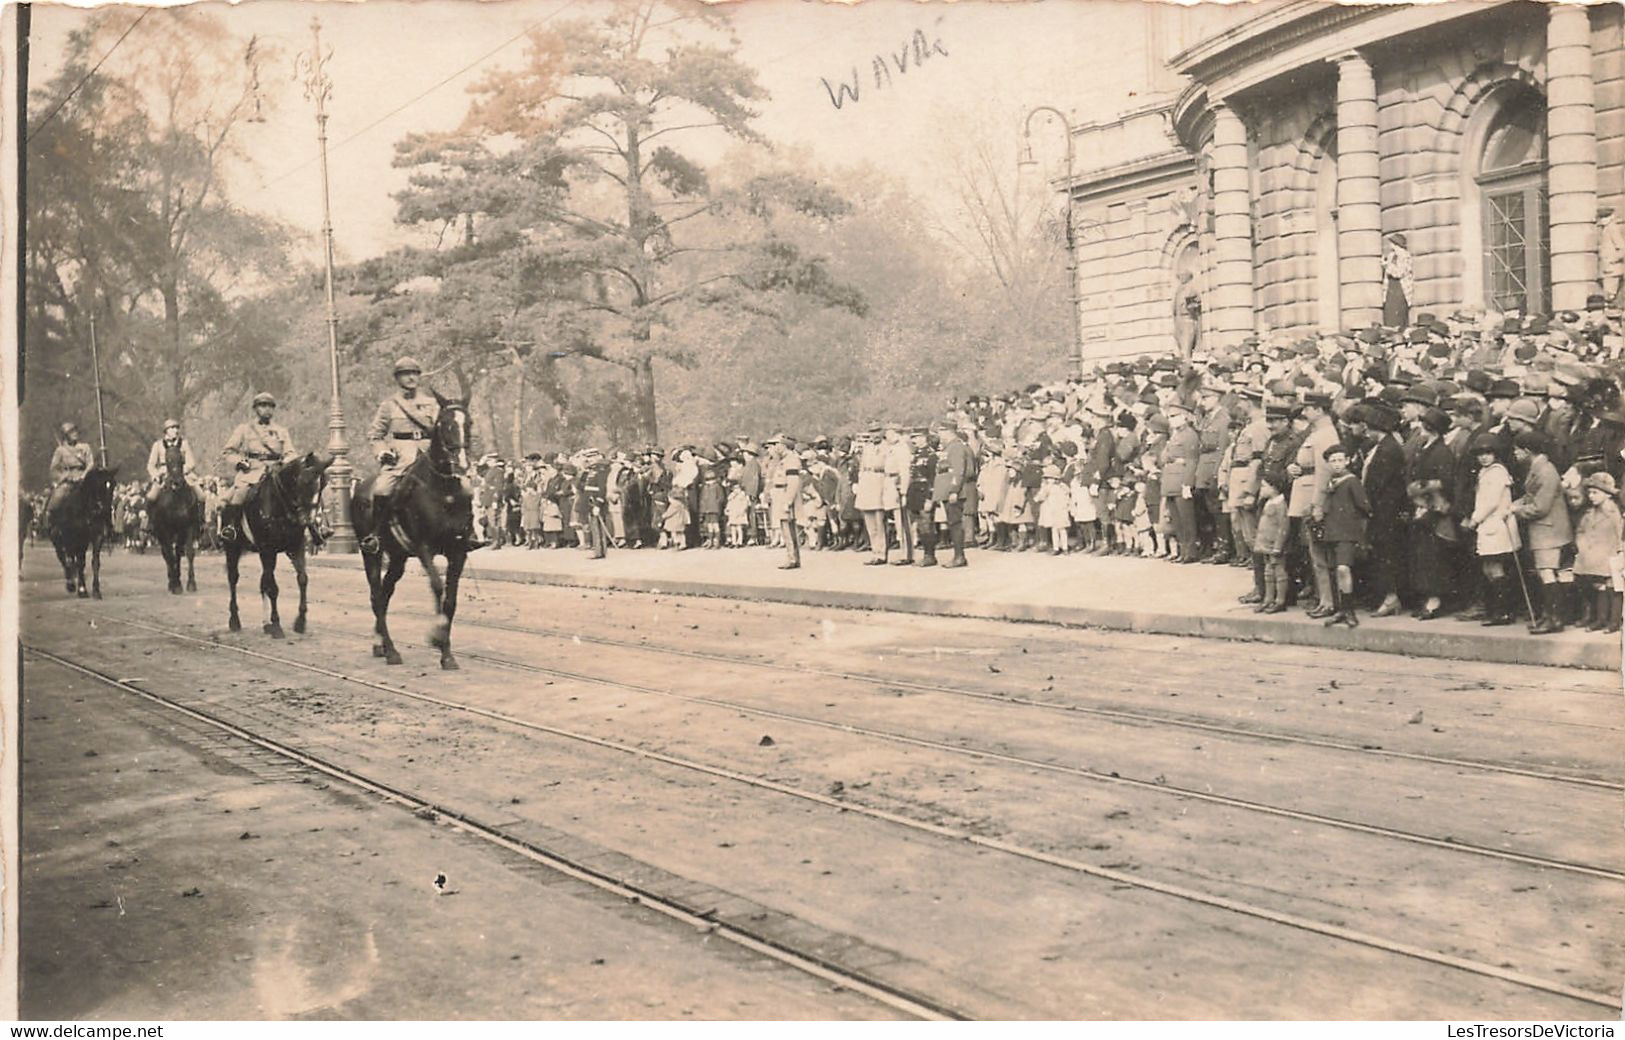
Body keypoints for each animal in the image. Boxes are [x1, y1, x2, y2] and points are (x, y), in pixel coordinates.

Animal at [49, 468, 117, 598]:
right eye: (99, 486)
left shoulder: (96, 536)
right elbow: (78, 562)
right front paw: (82, 589)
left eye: (113, 485)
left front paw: (96, 590)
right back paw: (70, 583)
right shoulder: (78, 538)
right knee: (63, 557)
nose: (106, 511)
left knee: (70, 559)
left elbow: (94, 562)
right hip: (57, 537)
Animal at [227, 451, 331, 637]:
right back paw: (235, 620)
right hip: (232, 549)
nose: (309, 520)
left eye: (324, 483)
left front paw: (300, 622)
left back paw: (265, 624)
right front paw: (276, 624)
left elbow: (302, 579)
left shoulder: (296, 547)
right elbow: (273, 587)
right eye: (305, 481)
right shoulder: (268, 550)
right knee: (233, 579)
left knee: (262, 582)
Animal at [355, 393, 474, 669]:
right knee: (376, 596)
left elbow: (450, 600)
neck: (444, 492)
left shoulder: (458, 552)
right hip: (371, 554)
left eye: (469, 423)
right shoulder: (424, 548)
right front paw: (436, 637)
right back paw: (391, 650)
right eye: (444, 424)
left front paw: (447, 654)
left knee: (385, 594)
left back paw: (381, 645)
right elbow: (437, 586)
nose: (461, 465)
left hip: (398, 558)